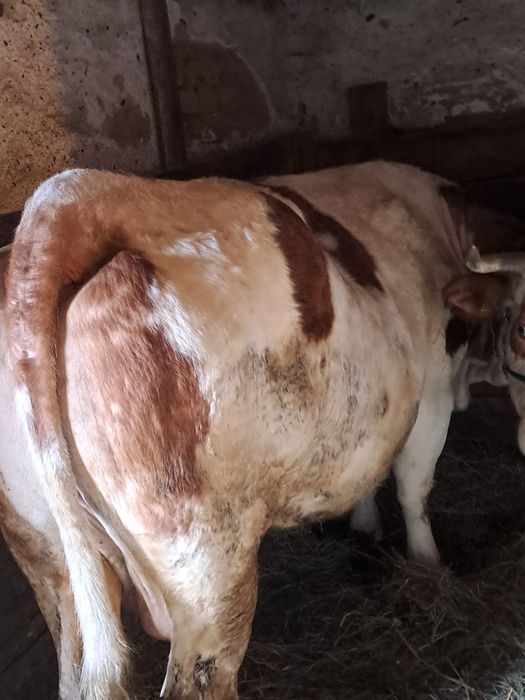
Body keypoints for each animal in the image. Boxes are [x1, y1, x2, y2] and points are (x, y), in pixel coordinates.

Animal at [2, 161, 525, 699]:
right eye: (521, 324)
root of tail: (72, 199)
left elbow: (370, 468)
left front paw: (366, 529)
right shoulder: (434, 389)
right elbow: (413, 487)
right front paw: (428, 567)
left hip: (47, 557)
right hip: (207, 568)